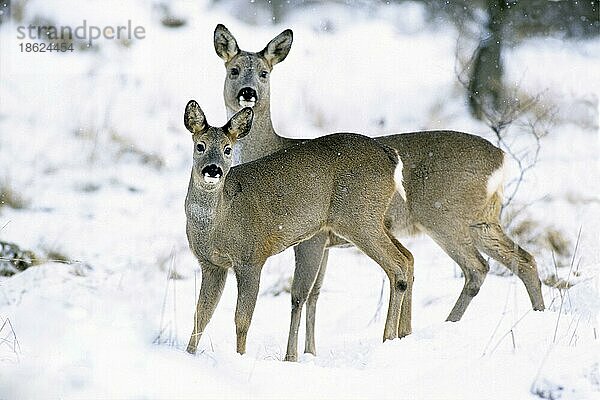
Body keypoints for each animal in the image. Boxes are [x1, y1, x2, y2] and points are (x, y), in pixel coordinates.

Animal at [185, 101, 414, 356]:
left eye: (227, 149)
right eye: (200, 146)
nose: (213, 170)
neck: (218, 223)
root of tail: (390, 156)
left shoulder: (251, 258)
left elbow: (242, 319)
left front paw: (240, 357)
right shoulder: (211, 264)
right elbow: (201, 314)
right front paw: (188, 353)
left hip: (359, 218)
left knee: (398, 264)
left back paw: (388, 337)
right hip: (371, 220)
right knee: (408, 256)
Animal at [213, 25, 548, 362]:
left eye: (264, 73)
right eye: (233, 70)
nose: (248, 93)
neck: (272, 147)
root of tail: (501, 159)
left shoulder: (313, 237)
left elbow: (300, 294)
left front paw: (293, 358)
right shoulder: (327, 243)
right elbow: (316, 295)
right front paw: (311, 353)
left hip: (441, 216)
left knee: (473, 268)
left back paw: (435, 328)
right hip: (483, 220)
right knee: (524, 259)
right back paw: (536, 317)